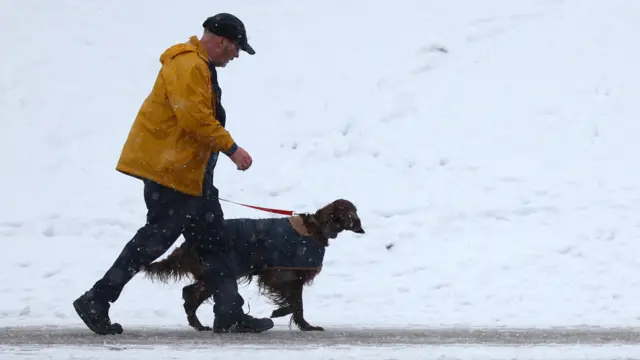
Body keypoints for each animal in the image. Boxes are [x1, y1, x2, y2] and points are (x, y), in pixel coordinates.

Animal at [143, 200, 368, 332]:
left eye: (355, 211)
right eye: (349, 211)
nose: (359, 224)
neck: (314, 229)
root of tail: (189, 243)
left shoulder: (288, 278)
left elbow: (296, 304)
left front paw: (302, 323)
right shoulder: (280, 275)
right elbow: (296, 304)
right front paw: (293, 320)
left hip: (211, 277)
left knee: (189, 294)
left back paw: (200, 325)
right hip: (218, 272)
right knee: (192, 295)